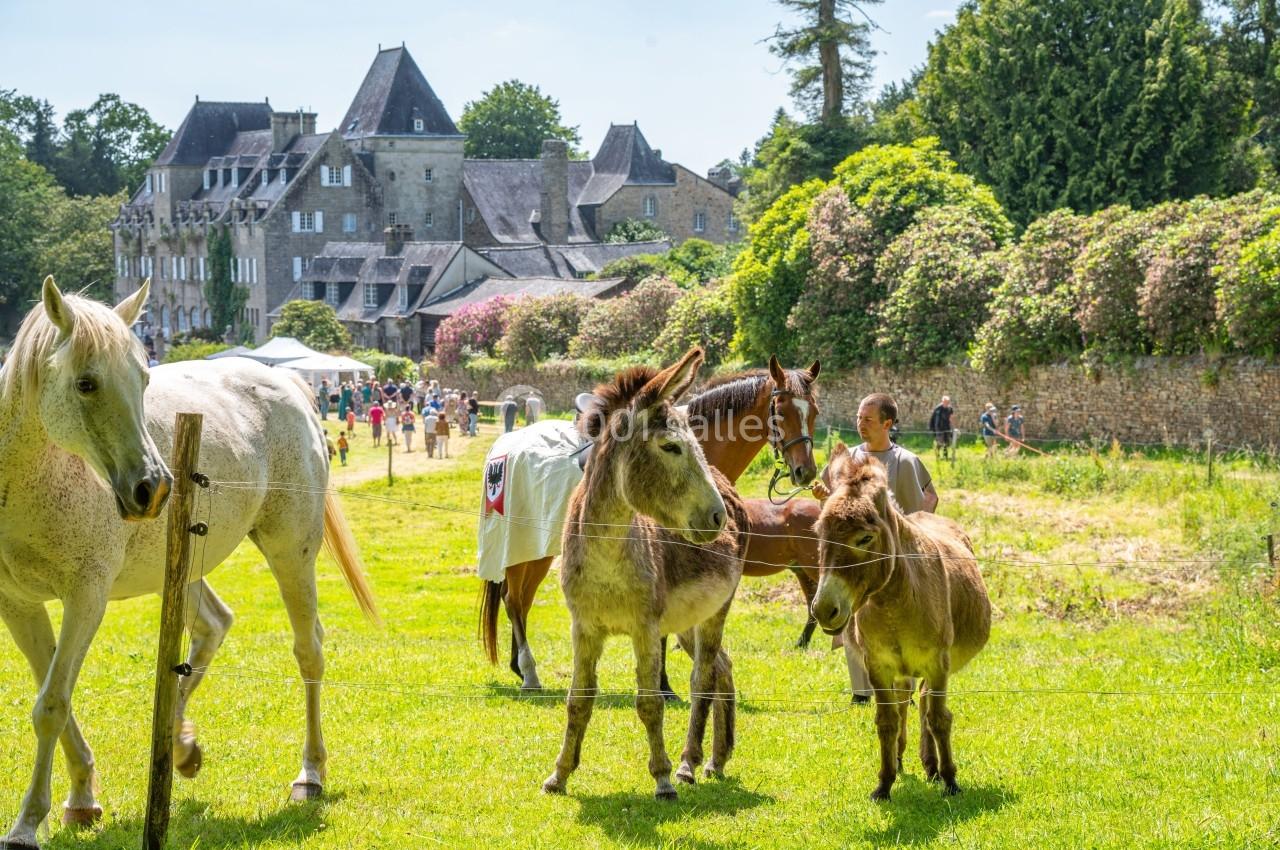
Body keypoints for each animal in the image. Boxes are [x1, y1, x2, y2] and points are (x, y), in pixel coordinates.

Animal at [0, 278, 378, 849]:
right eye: (86, 383)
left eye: (143, 378)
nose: (152, 487)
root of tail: (288, 383)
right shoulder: (19, 605)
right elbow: (54, 696)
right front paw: (82, 798)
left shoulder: (85, 599)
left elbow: (51, 705)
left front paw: (27, 824)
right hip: (182, 573)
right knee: (214, 626)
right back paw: (181, 748)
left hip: (290, 552)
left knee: (309, 650)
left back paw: (309, 773)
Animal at [480, 356, 820, 692]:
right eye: (782, 410)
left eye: (814, 411)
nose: (805, 471)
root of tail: (505, 446)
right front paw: (664, 684)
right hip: (519, 544)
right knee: (514, 601)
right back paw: (529, 672)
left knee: (521, 601)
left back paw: (519, 667)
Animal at [542, 347, 748, 800]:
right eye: (671, 446)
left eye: (697, 445)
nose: (718, 518)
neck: (607, 554)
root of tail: (730, 488)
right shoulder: (584, 627)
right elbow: (578, 699)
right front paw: (560, 774)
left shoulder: (646, 627)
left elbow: (650, 701)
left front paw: (663, 778)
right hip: (687, 621)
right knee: (723, 667)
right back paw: (717, 759)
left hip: (716, 611)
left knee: (703, 678)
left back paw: (688, 763)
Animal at [810, 443, 990, 801]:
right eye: (819, 534)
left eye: (865, 539)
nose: (823, 610)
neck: (893, 601)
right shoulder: (878, 664)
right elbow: (886, 720)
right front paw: (884, 782)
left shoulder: (938, 663)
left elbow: (939, 718)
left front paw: (950, 780)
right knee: (907, 699)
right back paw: (906, 758)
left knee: (925, 703)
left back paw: (933, 766)